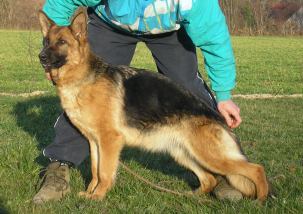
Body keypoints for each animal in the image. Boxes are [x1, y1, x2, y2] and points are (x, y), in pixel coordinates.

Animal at [38, 10, 270, 201]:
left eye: (62, 42)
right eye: (46, 41)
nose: (41, 57)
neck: (83, 79)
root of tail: (217, 116)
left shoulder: (109, 141)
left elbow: (104, 172)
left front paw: (98, 196)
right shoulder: (94, 142)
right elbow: (95, 170)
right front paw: (89, 193)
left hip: (210, 155)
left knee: (256, 169)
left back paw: (260, 201)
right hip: (183, 153)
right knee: (209, 179)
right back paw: (192, 196)